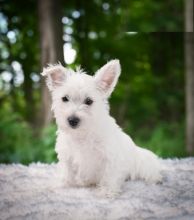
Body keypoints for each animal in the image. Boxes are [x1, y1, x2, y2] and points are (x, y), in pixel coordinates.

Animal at [41, 59, 162, 197]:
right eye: (65, 98)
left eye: (89, 101)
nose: (72, 120)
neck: (82, 134)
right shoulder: (67, 156)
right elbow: (67, 172)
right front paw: (62, 184)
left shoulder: (110, 157)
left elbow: (109, 175)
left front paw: (107, 191)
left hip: (144, 163)